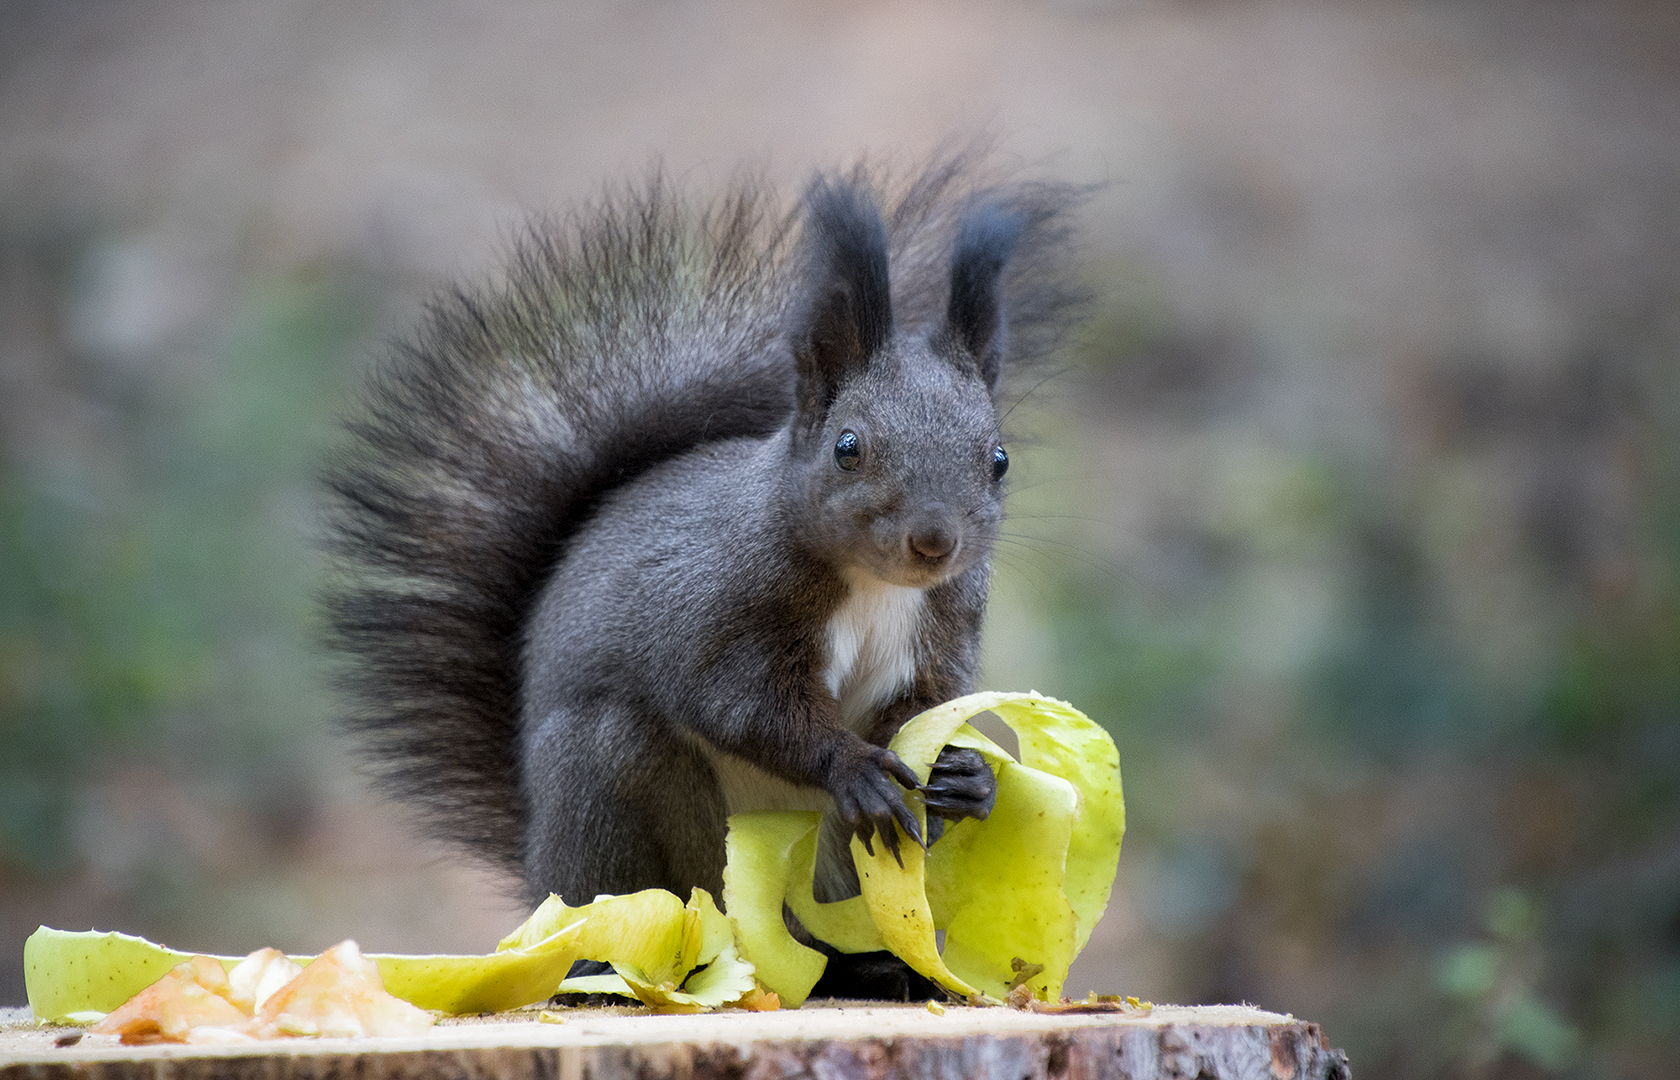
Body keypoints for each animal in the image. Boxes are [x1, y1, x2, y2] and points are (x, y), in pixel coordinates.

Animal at [323, 154, 1082, 996]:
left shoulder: (944, 626)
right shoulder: (719, 608)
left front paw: (965, 777)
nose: (935, 542)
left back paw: (880, 968)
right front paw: (851, 766)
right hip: (620, 794)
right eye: (848, 447)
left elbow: (924, 708)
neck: (874, 588)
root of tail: (541, 872)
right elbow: (739, 703)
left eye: (999, 458)